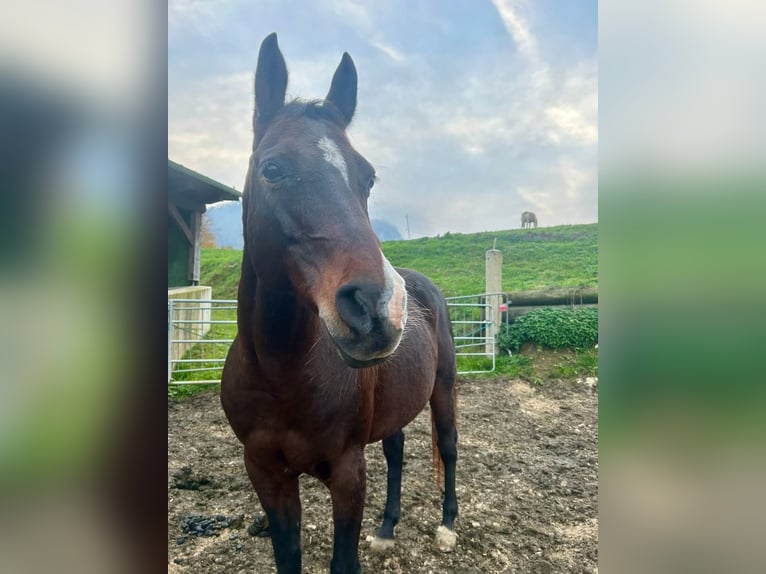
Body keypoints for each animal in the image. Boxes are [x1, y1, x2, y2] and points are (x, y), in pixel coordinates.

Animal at [219, 33, 460, 572]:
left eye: (367, 177)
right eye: (272, 168)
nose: (378, 308)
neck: (280, 376)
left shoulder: (347, 474)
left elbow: (343, 562)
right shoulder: (267, 476)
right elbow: (288, 557)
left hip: (444, 390)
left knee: (449, 448)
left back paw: (449, 526)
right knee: (395, 451)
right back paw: (387, 528)